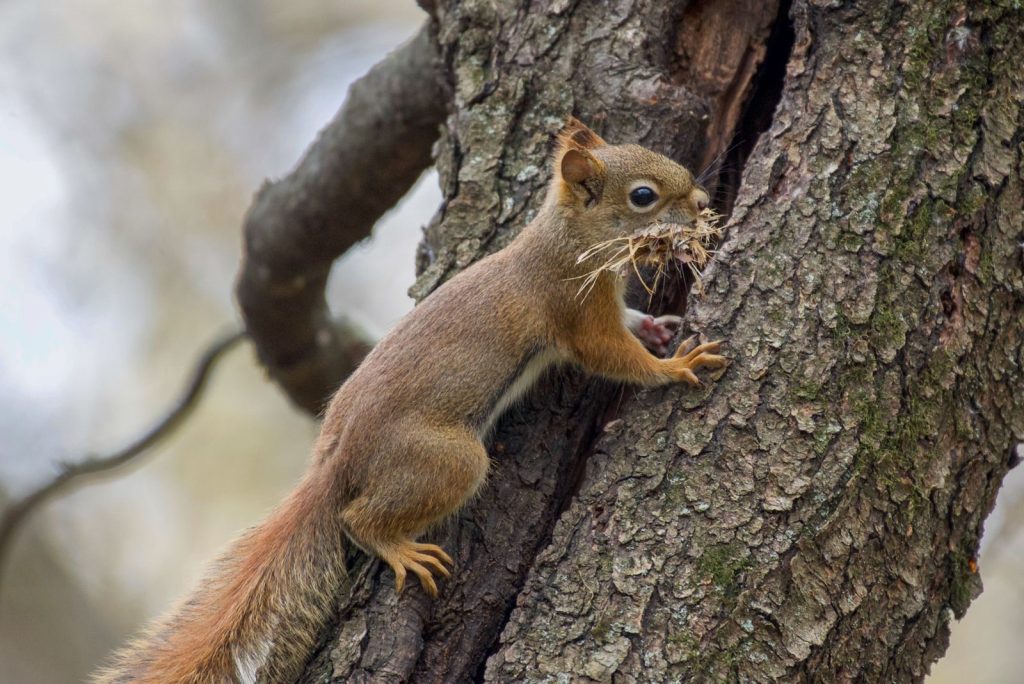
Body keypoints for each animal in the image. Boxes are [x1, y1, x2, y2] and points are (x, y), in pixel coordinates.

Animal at [94, 118, 726, 683]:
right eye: (643, 196)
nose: (701, 202)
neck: (568, 239)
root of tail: (338, 462)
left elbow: (630, 325)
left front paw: (659, 330)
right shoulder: (575, 307)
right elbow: (610, 354)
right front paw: (673, 366)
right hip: (445, 460)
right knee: (358, 519)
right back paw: (397, 547)